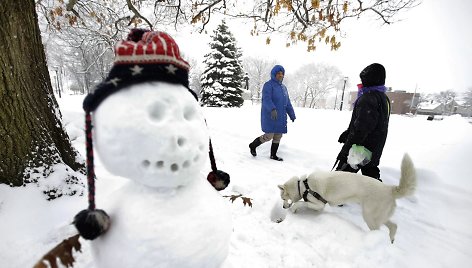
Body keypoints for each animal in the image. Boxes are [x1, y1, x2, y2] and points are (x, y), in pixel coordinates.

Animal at [278, 153, 414, 243]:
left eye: (283, 198)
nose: (283, 207)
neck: (303, 185)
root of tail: (390, 189)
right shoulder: (318, 205)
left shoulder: (319, 203)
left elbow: (301, 203)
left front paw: (294, 209)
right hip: (379, 216)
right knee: (394, 226)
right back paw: (391, 240)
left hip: (369, 216)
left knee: (378, 229)